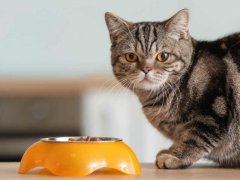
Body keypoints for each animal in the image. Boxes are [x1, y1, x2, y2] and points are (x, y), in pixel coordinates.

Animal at [105, 8, 240, 169]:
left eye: (163, 56)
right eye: (131, 56)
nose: (146, 69)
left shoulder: (214, 111)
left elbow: (195, 138)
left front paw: (176, 156)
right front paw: (171, 150)